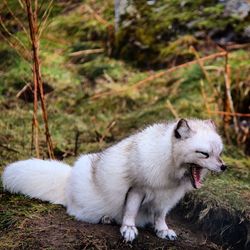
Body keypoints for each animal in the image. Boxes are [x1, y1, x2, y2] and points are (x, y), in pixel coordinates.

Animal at [1, 119, 227, 242]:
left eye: (219, 153)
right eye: (204, 154)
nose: (224, 167)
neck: (170, 171)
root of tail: (68, 180)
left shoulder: (167, 198)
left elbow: (160, 216)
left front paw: (162, 230)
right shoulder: (137, 188)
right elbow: (130, 211)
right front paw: (128, 229)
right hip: (86, 202)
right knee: (75, 211)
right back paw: (106, 218)